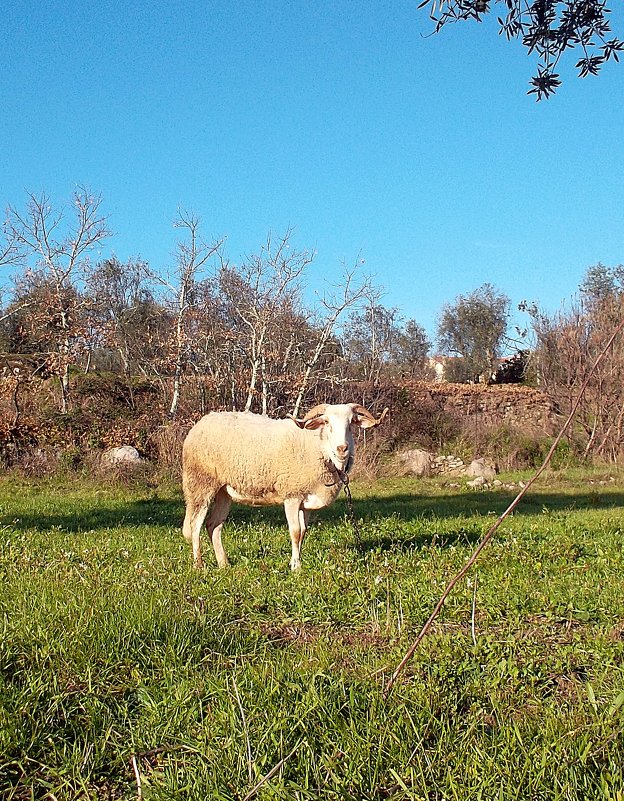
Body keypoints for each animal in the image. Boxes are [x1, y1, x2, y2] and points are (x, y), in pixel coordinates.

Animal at [180, 400, 388, 568]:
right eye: (327, 422)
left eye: (352, 422)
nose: (342, 448)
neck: (319, 449)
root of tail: (199, 425)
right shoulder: (292, 495)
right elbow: (295, 532)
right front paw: (295, 566)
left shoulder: (307, 502)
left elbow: (303, 532)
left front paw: (298, 561)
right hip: (201, 483)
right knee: (194, 526)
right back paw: (199, 565)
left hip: (224, 491)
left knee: (213, 525)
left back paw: (224, 564)